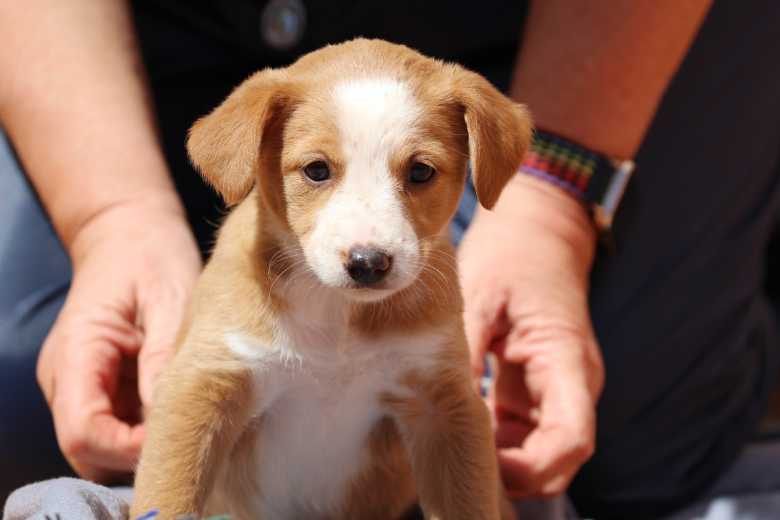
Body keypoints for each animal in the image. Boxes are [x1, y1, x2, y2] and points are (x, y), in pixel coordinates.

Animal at [132, 39, 531, 520]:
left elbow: (467, 501)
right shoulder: (203, 386)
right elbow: (168, 493)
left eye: (420, 171)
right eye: (316, 170)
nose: (368, 262)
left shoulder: (446, 404)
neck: (339, 317)